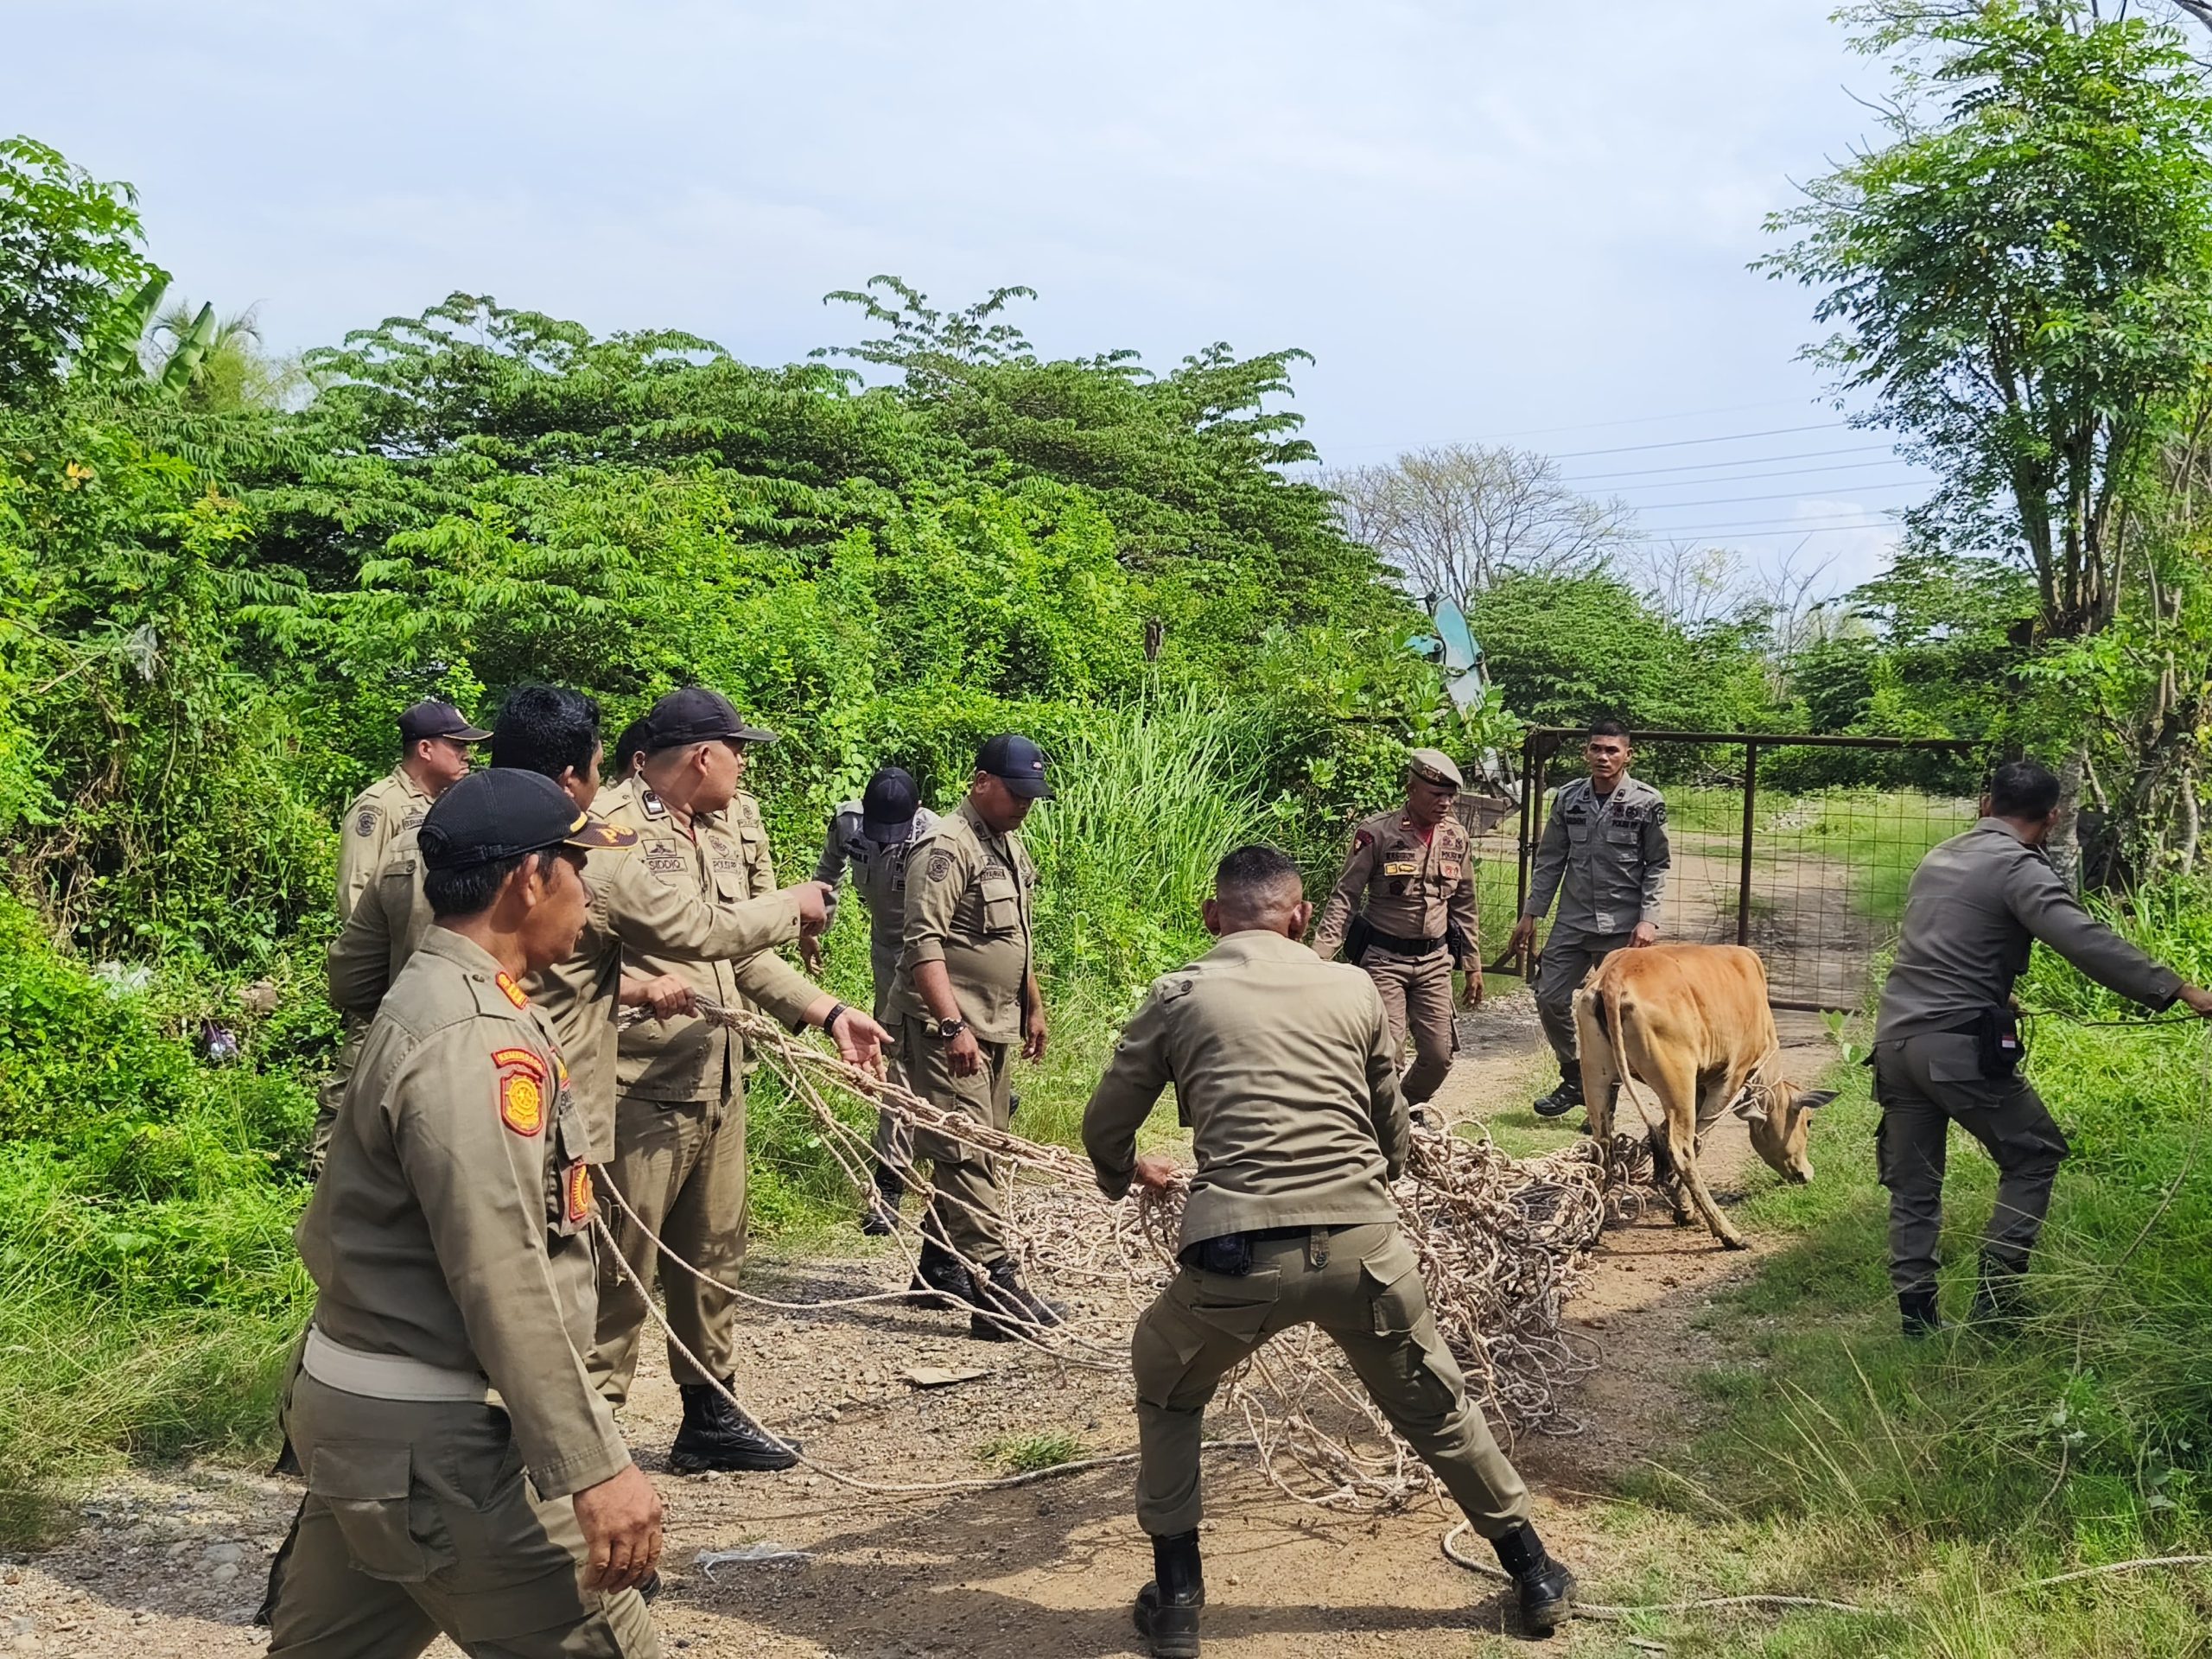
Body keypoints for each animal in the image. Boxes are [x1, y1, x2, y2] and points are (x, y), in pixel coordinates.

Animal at [1572, 943, 1836, 1250]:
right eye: (1809, 1121)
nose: (1805, 1173)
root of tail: (1616, 974)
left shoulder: (1701, 1086)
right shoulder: (1729, 1078)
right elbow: (1701, 1140)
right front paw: (1683, 1209)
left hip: (1596, 1076)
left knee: (1603, 1144)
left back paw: (1592, 1230)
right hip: (1678, 1083)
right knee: (1681, 1149)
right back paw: (1729, 1233)